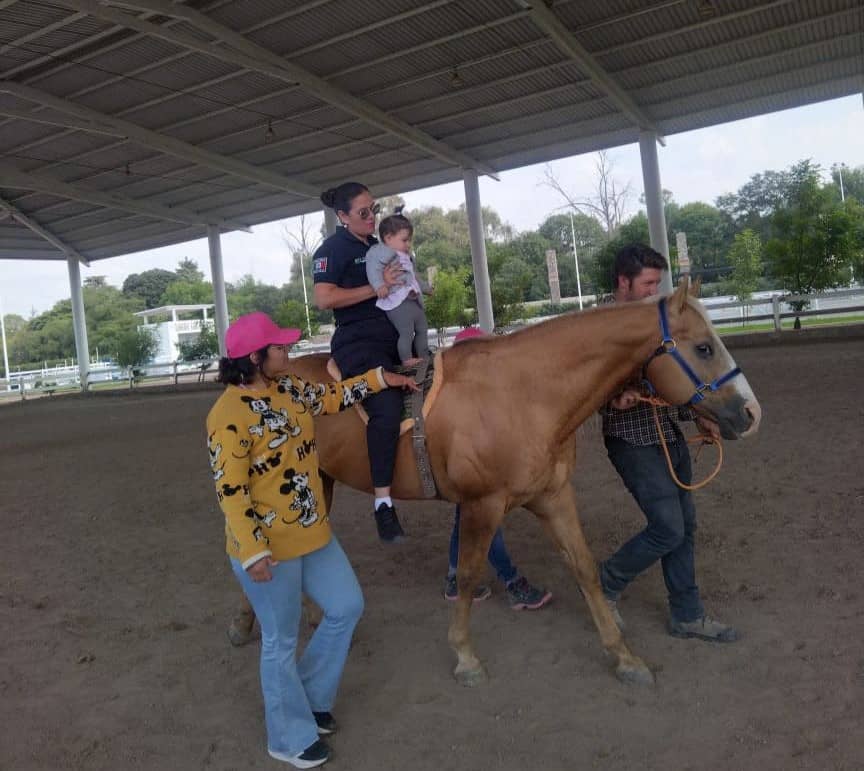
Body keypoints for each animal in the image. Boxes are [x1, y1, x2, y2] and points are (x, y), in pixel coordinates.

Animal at [230, 282, 764, 688]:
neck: (523, 393)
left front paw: (624, 656)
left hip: (319, 483)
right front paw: (466, 657)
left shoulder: (553, 497)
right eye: (703, 347)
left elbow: (585, 569)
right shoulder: (482, 505)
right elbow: (468, 575)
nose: (750, 413)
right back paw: (247, 622)